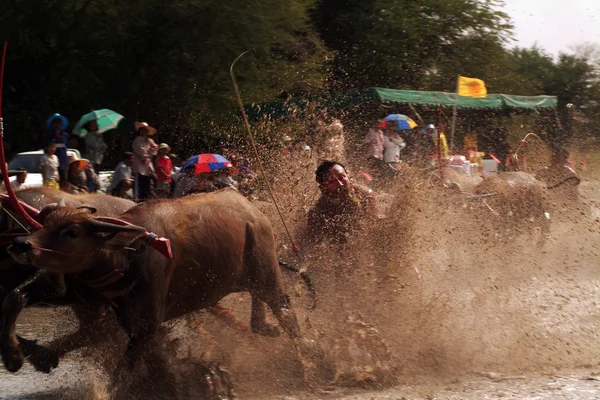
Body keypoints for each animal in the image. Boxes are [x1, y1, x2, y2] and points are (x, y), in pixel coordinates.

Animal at [4, 189, 300, 386]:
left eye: (72, 232)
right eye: (45, 223)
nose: (21, 245)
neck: (125, 257)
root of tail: (254, 211)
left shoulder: (145, 326)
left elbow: (122, 377)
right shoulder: (84, 293)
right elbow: (15, 297)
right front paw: (15, 357)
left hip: (268, 275)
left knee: (287, 314)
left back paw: (305, 362)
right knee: (260, 314)